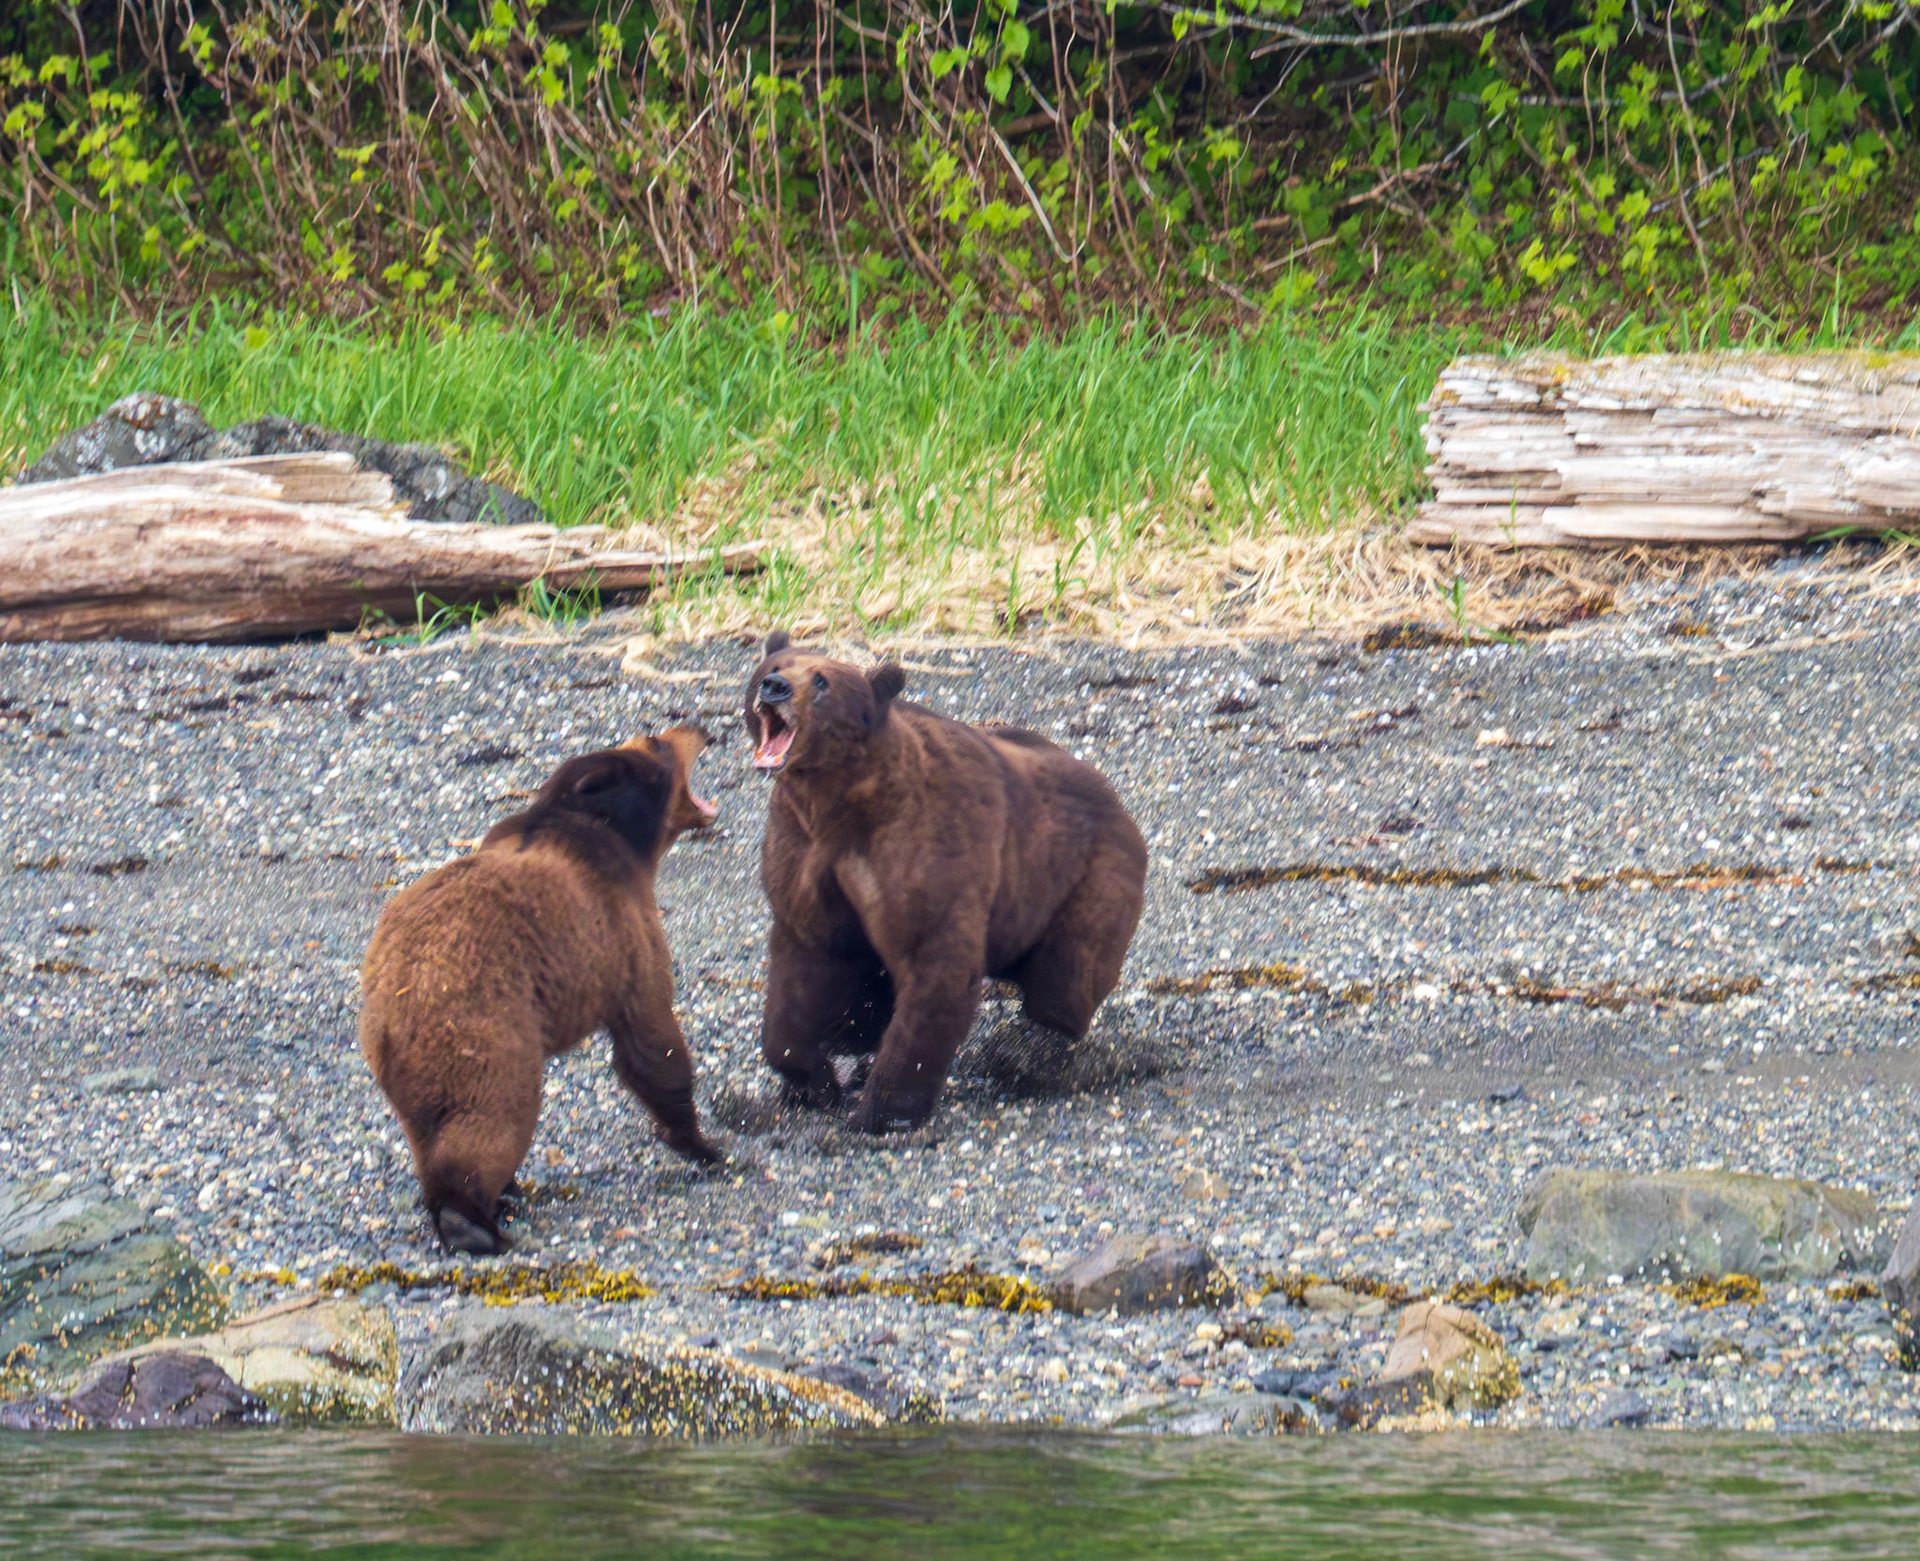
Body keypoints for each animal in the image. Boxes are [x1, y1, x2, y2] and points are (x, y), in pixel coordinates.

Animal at [359, 727, 724, 1254]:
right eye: (657, 741)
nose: (702, 729)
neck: (629, 841)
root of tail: (392, 1010)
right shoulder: (622, 932)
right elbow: (652, 1037)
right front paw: (701, 1144)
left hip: (408, 1076)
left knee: (430, 1131)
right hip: (483, 1030)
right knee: (493, 1115)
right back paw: (474, 1221)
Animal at [741, 631, 1148, 1134]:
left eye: (821, 681)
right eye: (773, 666)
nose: (775, 687)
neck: (841, 800)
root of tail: (1118, 799)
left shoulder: (924, 843)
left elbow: (934, 960)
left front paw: (882, 1112)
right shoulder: (803, 850)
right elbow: (803, 965)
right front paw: (812, 1082)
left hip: (1085, 873)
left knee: (1068, 974)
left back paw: (1032, 1053)